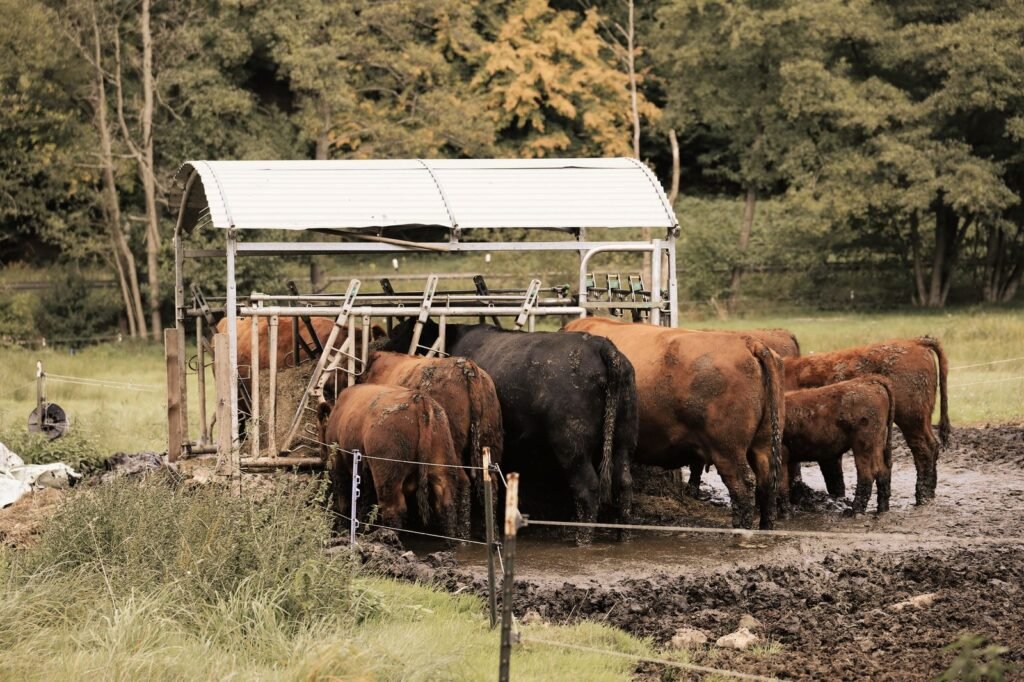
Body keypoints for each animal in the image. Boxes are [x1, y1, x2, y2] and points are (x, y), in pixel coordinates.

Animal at [317, 384, 469, 540]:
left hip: (387, 477)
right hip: (442, 469)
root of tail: (419, 399)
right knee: (447, 507)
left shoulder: (339, 463)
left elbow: (345, 499)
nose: (321, 455)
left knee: (393, 510)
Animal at [386, 320, 637, 545]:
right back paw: (624, 535)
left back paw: (582, 538)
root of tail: (602, 346)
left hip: (572, 444)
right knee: (624, 482)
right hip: (623, 439)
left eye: (398, 332)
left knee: (588, 487)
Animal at [783, 376, 895, 514]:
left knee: (867, 474)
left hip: (864, 446)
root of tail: (869, 380)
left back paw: (855, 511)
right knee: (884, 471)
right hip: (878, 444)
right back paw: (882, 509)